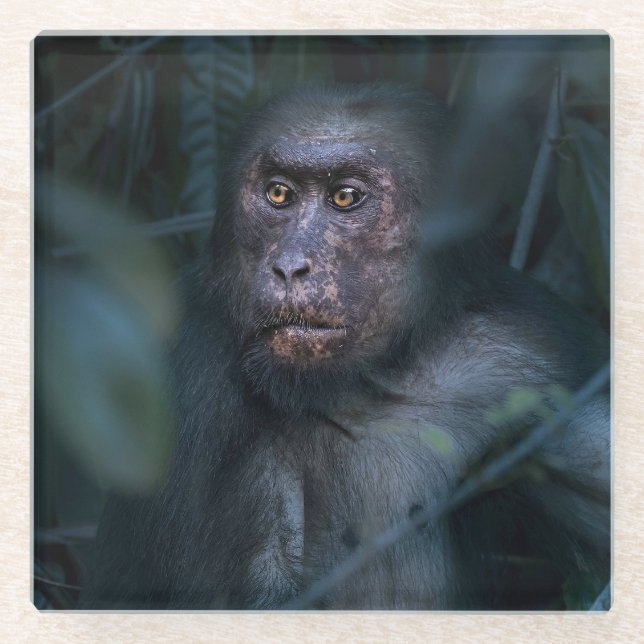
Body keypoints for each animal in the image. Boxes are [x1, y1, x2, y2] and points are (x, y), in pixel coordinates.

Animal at [82, 83, 610, 610]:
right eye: (279, 193)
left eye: (345, 197)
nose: (290, 265)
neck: (368, 382)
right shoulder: (188, 373)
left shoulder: (535, 353)